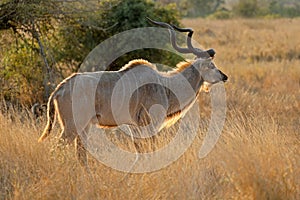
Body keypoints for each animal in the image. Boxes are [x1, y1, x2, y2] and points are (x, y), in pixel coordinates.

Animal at [38, 18, 229, 166]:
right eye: (211, 65)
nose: (224, 76)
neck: (164, 85)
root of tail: (60, 88)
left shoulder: (135, 127)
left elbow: (140, 154)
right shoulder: (151, 124)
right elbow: (149, 151)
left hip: (83, 127)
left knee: (81, 154)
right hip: (72, 127)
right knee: (58, 148)